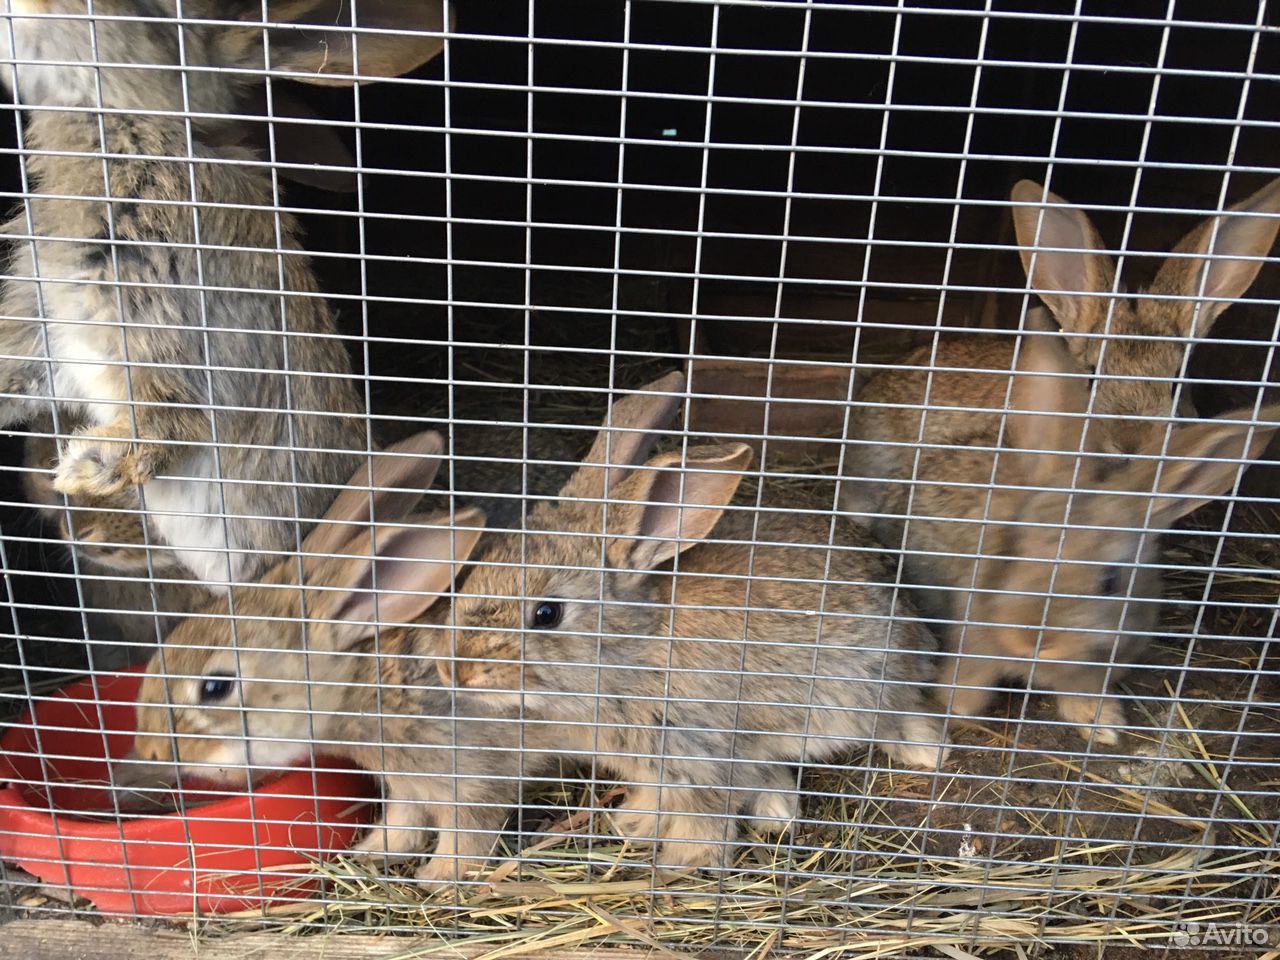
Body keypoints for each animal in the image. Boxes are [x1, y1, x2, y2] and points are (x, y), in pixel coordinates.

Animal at [0, 0, 450, 591]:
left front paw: (85, 467)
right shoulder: (45, 329)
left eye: (148, 10)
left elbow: (170, 420)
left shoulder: (168, 332)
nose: (22, 9)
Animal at [424, 371, 947, 875]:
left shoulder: (699, 752)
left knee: (898, 713)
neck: (634, 650)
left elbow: (703, 814)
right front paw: (635, 821)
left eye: (546, 614)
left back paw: (925, 752)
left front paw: (682, 862)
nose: (455, 671)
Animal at [839, 330, 1280, 742]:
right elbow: (971, 682)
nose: (1029, 636)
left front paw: (1103, 724)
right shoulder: (974, 639)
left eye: (1110, 582)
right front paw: (954, 709)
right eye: (1014, 547)